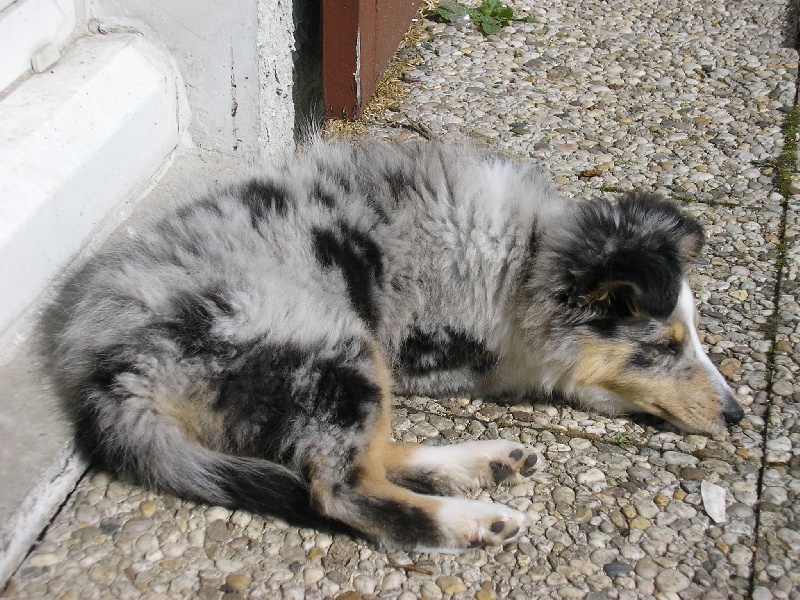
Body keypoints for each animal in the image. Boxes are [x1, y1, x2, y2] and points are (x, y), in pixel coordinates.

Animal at [45, 141, 744, 548]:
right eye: (663, 346)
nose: (738, 416)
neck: (524, 260)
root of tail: (116, 373)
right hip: (333, 345)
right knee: (338, 488)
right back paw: (473, 520)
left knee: (368, 458)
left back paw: (485, 463)